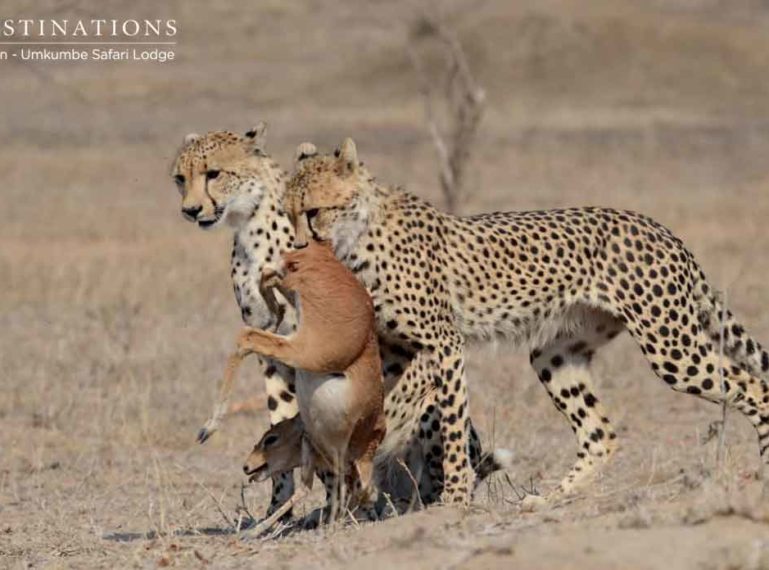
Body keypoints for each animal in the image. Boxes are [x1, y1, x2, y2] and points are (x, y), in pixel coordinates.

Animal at [169, 129, 510, 516]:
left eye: (213, 173)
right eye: (180, 178)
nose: (190, 210)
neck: (252, 230)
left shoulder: (317, 341)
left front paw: (331, 504)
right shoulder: (275, 356)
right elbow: (282, 419)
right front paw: (280, 508)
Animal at [284, 139, 768, 506]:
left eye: (313, 211)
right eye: (288, 213)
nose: (296, 248)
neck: (356, 238)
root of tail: (661, 229)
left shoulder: (444, 343)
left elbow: (450, 422)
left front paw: (454, 497)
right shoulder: (396, 352)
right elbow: (388, 401)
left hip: (670, 346)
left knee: (754, 387)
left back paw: (764, 470)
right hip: (554, 354)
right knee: (599, 434)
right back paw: (550, 499)